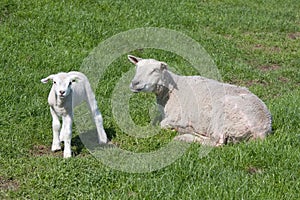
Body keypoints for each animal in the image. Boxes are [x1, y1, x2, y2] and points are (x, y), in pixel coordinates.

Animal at [127, 55, 274, 146]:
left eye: (154, 70)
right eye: (137, 67)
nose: (134, 83)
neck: (170, 91)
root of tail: (261, 130)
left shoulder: (177, 116)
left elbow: (162, 124)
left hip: (223, 116)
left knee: (216, 142)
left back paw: (184, 135)